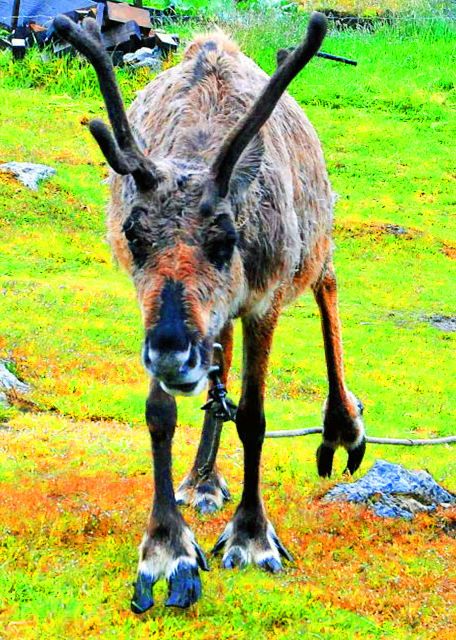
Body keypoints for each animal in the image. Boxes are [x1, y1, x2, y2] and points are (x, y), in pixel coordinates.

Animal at [53, 12, 366, 610]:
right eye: (133, 235)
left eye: (226, 238)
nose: (172, 355)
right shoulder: (158, 314)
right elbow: (160, 415)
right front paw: (165, 549)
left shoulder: (264, 300)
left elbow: (254, 418)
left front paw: (251, 536)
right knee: (218, 365)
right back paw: (201, 479)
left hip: (316, 240)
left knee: (328, 284)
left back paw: (341, 425)